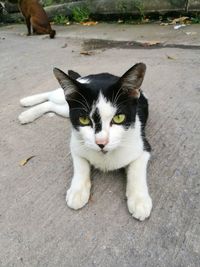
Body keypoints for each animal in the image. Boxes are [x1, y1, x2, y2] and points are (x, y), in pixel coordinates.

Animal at [19, 63, 152, 222]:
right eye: (84, 120)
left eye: (119, 118)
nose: (101, 142)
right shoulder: (75, 144)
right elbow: (81, 164)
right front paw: (78, 191)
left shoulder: (143, 146)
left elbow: (136, 170)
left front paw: (139, 200)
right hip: (67, 102)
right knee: (52, 96)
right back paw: (27, 104)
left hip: (66, 109)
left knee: (51, 104)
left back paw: (28, 111)